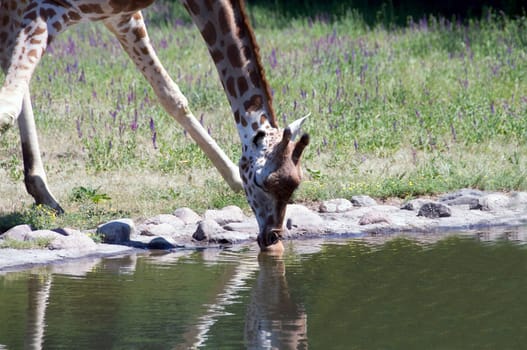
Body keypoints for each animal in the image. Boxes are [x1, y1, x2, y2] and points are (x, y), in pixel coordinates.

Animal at [0, 0, 310, 252]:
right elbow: (7, 107)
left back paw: (44, 194)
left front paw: (232, 176)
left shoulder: (123, 17)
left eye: (295, 184)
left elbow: (170, 94)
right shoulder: (46, 9)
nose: (272, 237)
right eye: (260, 181)